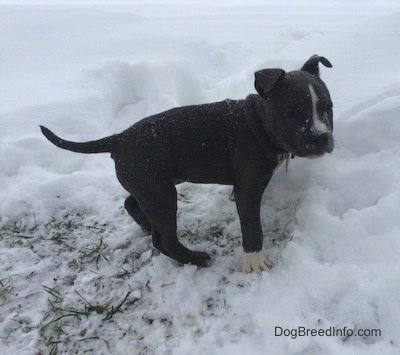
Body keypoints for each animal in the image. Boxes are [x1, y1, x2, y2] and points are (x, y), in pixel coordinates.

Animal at [41, 55, 334, 272]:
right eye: (291, 113)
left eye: (328, 107)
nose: (321, 137)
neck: (259, 124)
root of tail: (119, 138)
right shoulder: (248, 190)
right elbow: (252, 227)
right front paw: (254, 261)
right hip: (160, 193)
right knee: (164, 240)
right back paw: (196, 258)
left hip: (150, 187)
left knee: (132, 204)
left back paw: (147, 225)